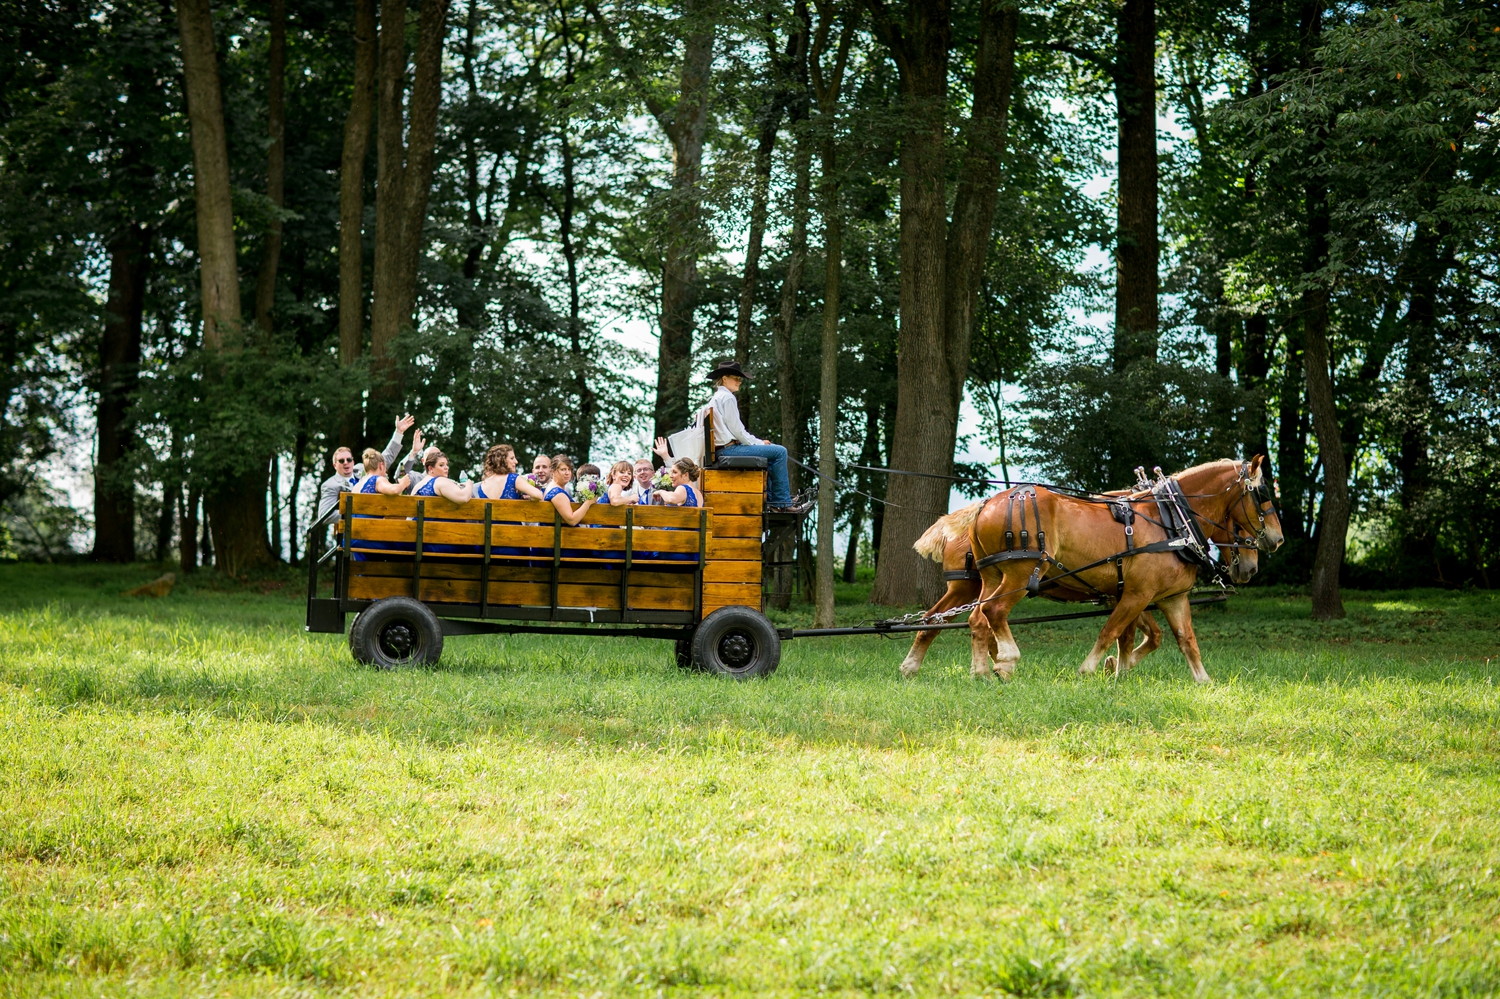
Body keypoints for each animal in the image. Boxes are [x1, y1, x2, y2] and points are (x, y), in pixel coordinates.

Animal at [960, 456, 1290, 681]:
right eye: (1262, 495)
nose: (1278, 539)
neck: (1170, 520)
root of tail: (986, 505)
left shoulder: (1169, 598)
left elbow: (1183, 640)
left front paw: (1202, 680)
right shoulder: (1136, 594)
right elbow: (1112, 632)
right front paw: (1092, 669)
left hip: (993, 575)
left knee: (977, 618)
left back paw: (980, 672)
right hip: (1021, 573)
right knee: (995, 611)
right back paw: (1006, 660)